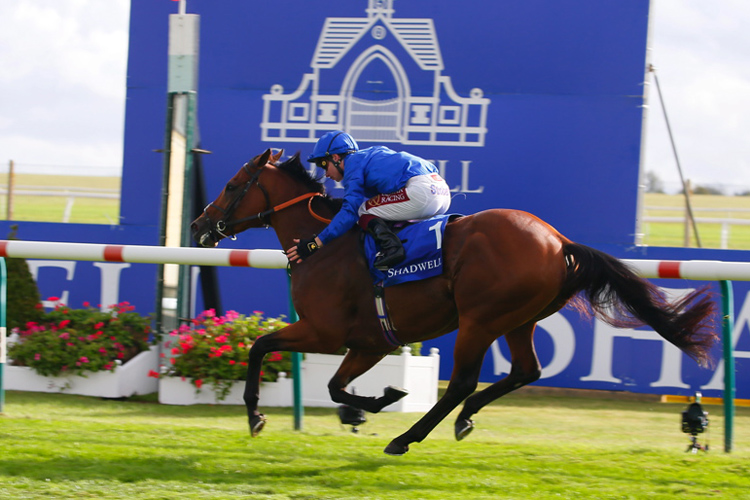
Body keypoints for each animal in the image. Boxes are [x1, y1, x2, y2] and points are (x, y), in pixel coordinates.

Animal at [191, 149, 720, 458]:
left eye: (233, 186)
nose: (198, 226)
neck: (323, 243)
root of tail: (558, 241)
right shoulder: (371, 342)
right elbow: (338, 387)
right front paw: (380, 400)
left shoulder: (325, 331)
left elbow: (260, 347)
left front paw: (256, 416)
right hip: (519, 319)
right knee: (525, 370)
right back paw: (463, 419)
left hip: (480, 319)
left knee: (463, 381)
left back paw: (406, 438)